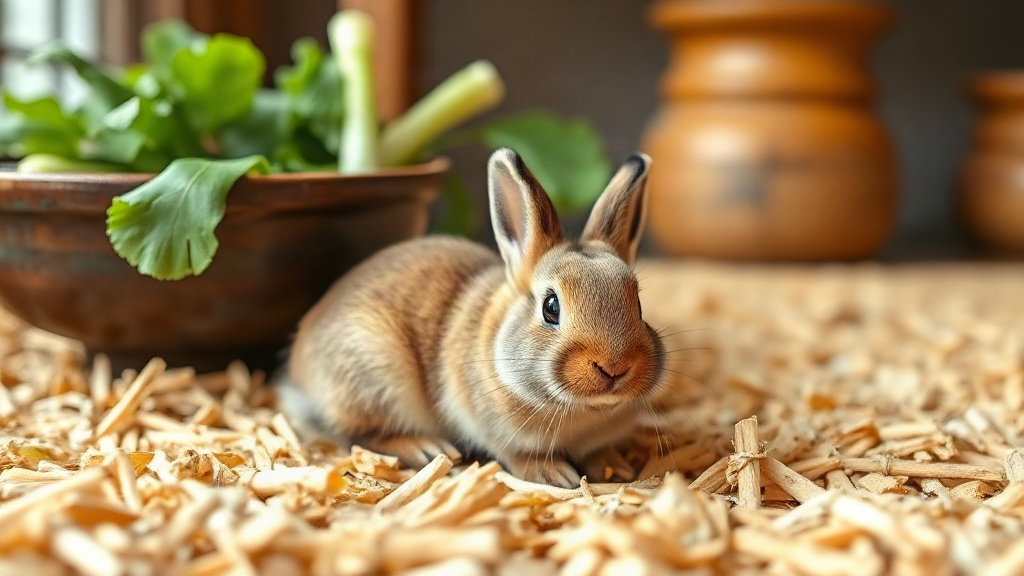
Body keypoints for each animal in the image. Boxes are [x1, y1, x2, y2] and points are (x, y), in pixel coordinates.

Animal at [277, 148, 666, 487]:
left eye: (638, 305)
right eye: (551, 307)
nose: (614, 367)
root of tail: (299, 375)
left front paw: (615, 468)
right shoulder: (496, 431)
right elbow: (518, 456)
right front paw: (555, 474)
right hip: (375, 377)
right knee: (359, 434)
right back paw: (426, 447)